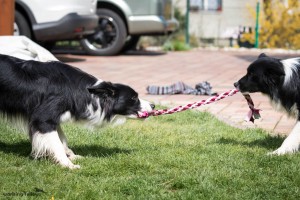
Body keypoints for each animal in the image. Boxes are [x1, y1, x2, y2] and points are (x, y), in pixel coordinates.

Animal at [0, 54, 155, 169]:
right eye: (134, 98)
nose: (153, 105)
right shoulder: (43, 118)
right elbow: (56, 143)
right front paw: (68, 164)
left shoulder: (54, 118)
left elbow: (62, 139)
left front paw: (72, 156)